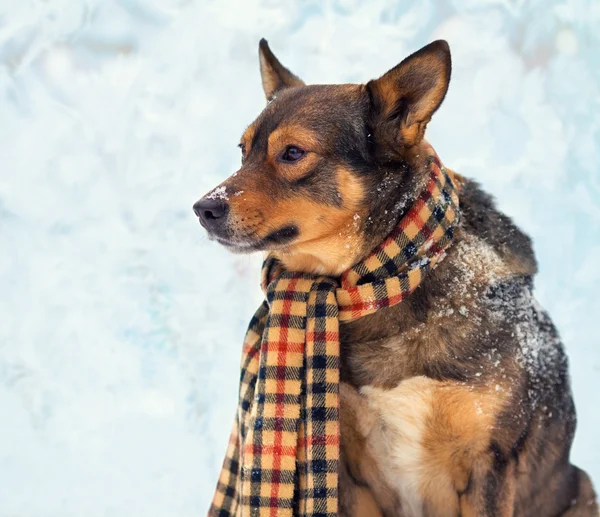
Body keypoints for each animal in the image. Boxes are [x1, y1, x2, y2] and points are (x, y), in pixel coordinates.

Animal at [195, 39, 596, 516]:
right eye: (243, 151)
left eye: (292, 152)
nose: (203, 209)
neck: (383, 280)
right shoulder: (347, 470)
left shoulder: (490, 462)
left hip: (582, 488)